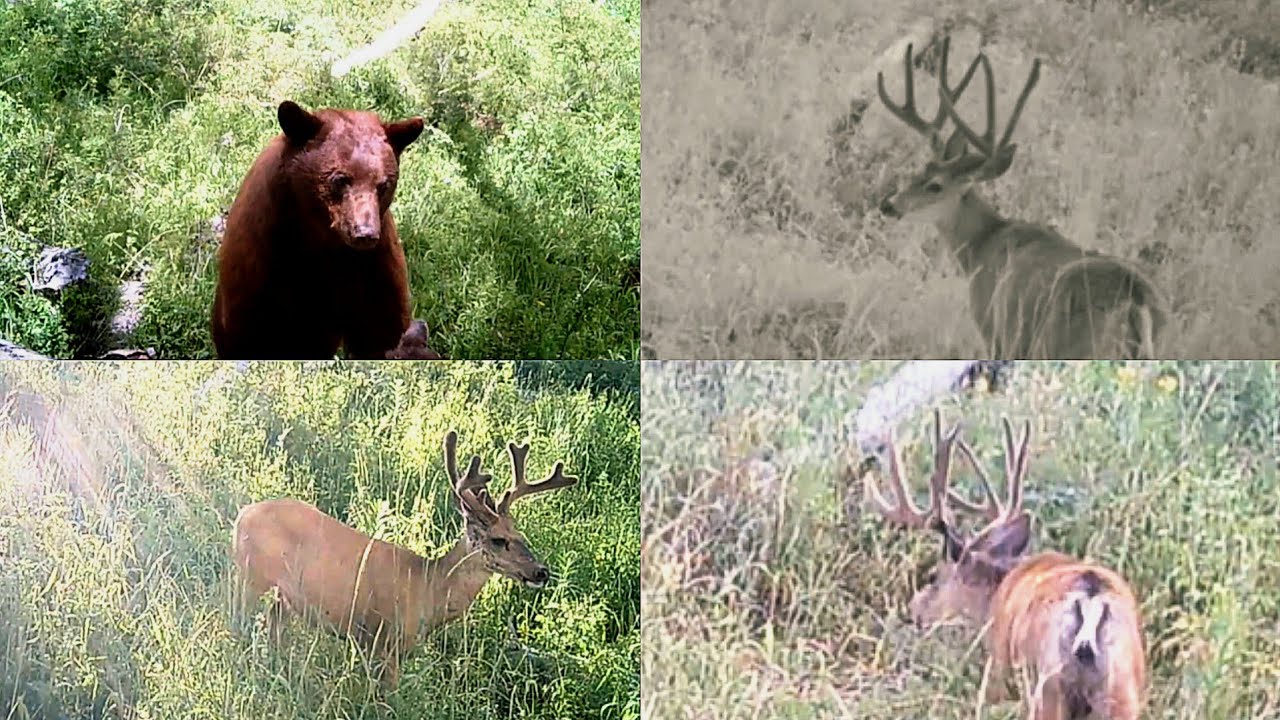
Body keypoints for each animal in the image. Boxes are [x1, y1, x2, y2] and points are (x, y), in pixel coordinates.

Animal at [231, 430, 578, 688]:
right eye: (498, 540)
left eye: (519, 533)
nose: (541, 571)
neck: (428, 587)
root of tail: (242, 515)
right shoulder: (385, 640)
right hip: (252, 578)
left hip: (282, 600)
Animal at [861, 410, 1145, 720]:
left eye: (934, 577)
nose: (914, 610)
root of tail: (1090, 597)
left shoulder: (997, 669)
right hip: (1122, 690)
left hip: (1046, 685)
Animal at [875, 36, 1167, 359]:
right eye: (919, 170)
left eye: (935, 186)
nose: (888, 205)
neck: (981, 245)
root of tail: (1136, 301)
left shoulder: (994, 329)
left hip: (1060, 344)